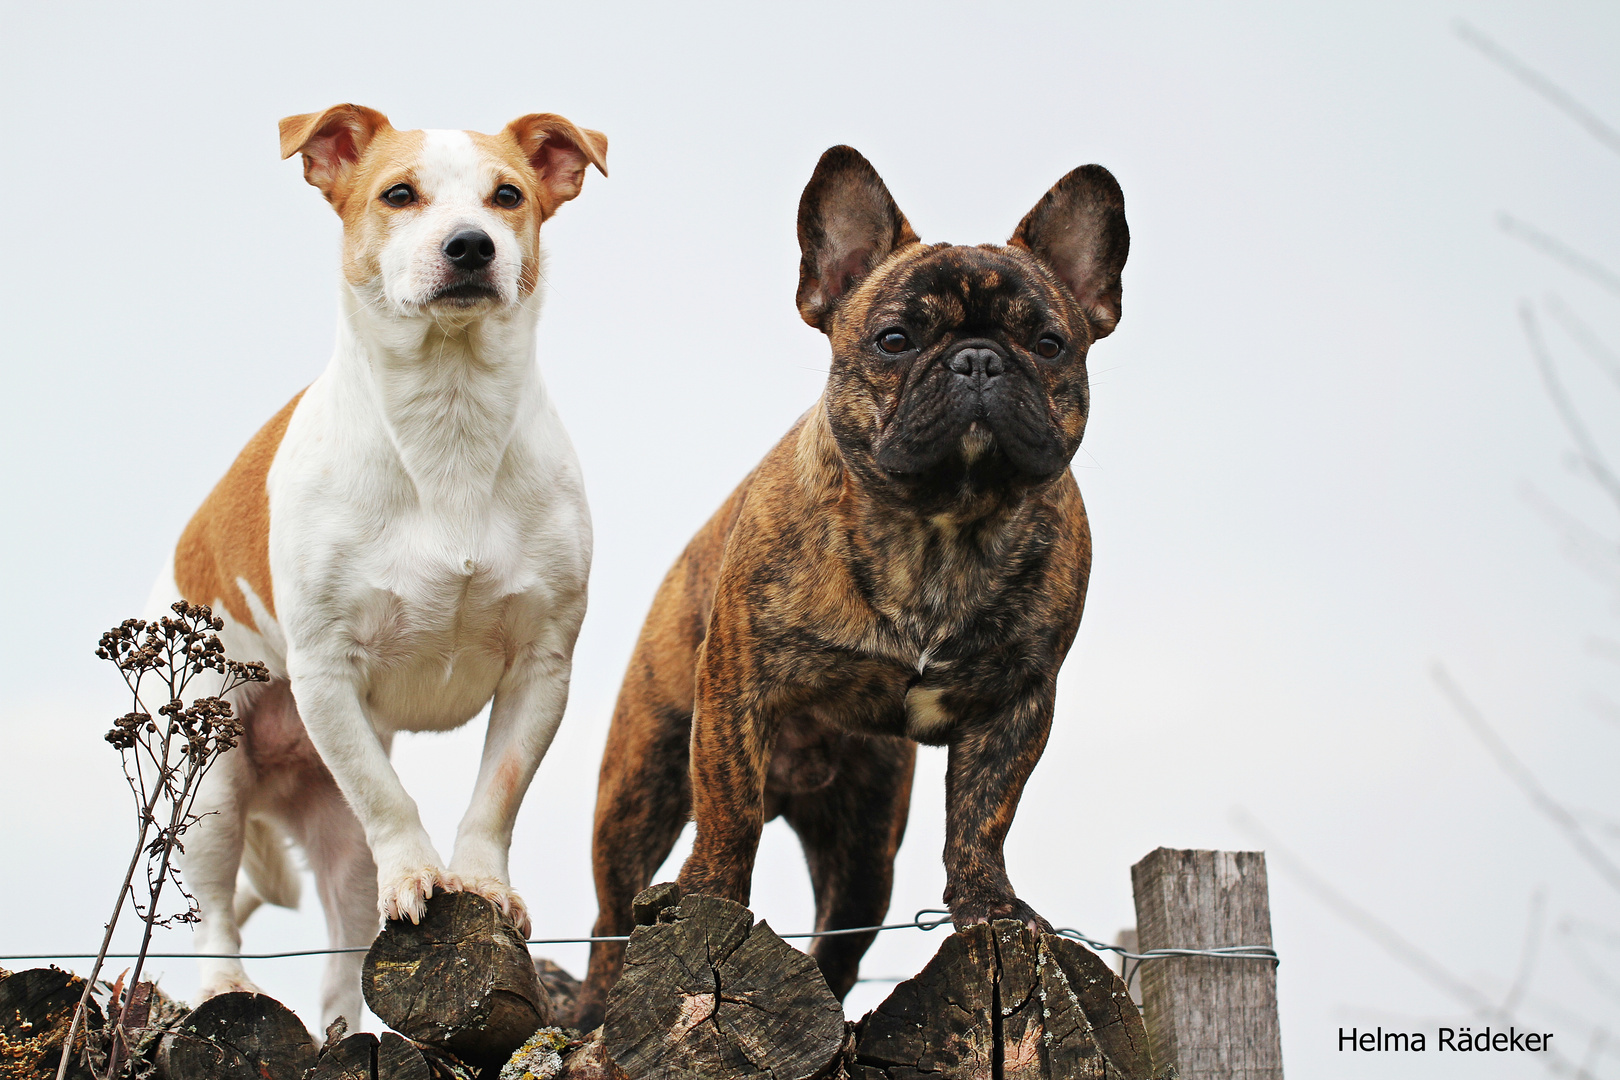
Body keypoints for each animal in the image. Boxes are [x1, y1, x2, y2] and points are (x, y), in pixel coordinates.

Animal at [150, 105, 609, 1029]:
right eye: (399, 194)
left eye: (509, 196)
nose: (471, 245)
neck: (450, 414)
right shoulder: (328, 671)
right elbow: (394, 804)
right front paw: (419, 873)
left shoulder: (542, 666)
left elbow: (495, 795)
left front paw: (480, 882)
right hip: (212, 789)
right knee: (215, 910)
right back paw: (225, 985)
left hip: (334, 829)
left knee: (338, 962)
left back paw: (337, 1030)